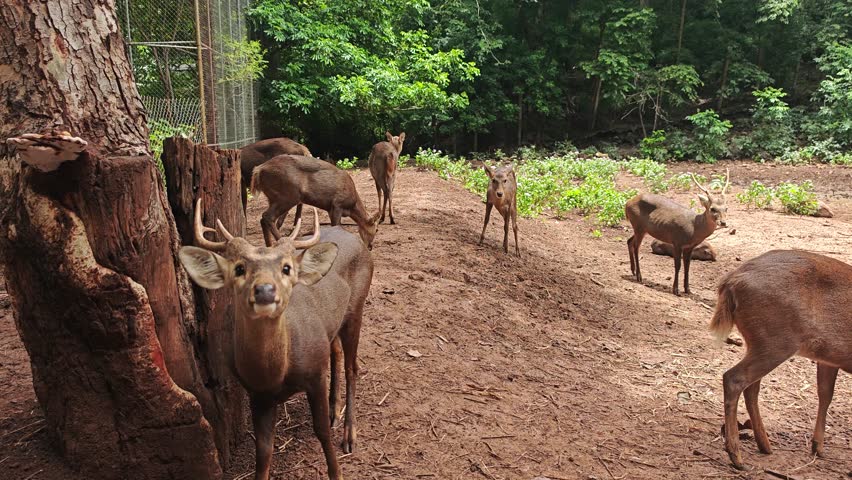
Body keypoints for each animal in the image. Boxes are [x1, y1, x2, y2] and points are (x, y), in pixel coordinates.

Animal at [178, 199, 373, 480]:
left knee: (352, 367)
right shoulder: (256, 394)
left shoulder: (315, 374)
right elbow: (264, 450)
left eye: (286, 268)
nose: (265, 290)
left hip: (357, 307)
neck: (277, 374)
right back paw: (335, 410)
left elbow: (322, 431)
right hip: (332, 323)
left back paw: (349, 435)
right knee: (335, 351)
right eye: (239, 268)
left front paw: (337, 473)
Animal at [251, 154, 381, 250]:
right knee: (267, 216)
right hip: (287, 196)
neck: (352, 206)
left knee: (263, 218)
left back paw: (269, 246)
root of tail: (258, 170)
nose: (370, 247)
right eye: (375, 229)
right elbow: (336, 225)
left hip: (273, 197)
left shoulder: (330, 208)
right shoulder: (337, 204)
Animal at [710, 250, 852, 470]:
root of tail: (730, 281)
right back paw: (737, 456)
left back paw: (764, 445)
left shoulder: (829, 360)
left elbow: (826, 393)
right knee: (734, 378)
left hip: (762, 342)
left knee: (751, 386)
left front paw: (817, 447)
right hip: (776, 341)